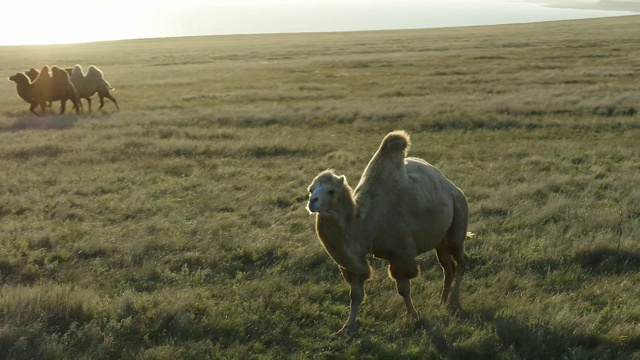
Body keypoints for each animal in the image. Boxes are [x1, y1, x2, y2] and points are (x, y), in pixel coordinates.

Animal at [304, 130, 470, 334]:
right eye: (311, 189)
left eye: (331, 191)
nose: (312, 202)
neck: (365, 223)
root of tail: (452, 187)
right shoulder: (355, 261)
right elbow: (356, 294)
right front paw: (347, 326)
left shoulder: (401, 252)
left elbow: (403, 289)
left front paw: (414, 315)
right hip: (440, 239)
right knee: (448, 267)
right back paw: (442, 302)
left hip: (458, 220)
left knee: (461, 261)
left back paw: (453, 300)